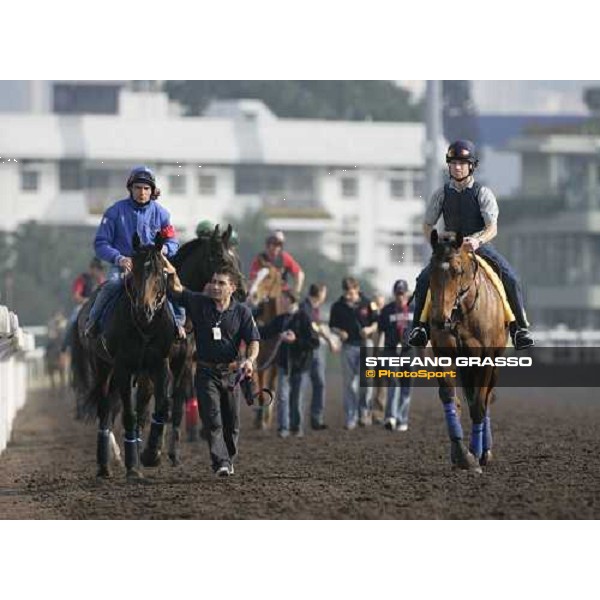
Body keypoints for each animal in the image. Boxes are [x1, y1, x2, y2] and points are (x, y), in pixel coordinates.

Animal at [428, 230, 508, 474]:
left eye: (457, 271)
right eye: (430, 271)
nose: (438, 320)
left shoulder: (486, 359)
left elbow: (479, 406)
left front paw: (476, 453)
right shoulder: (445, 354)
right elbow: (450, 398)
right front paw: (462, 455)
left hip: (495, 363)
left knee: (486, 398)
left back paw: (485, 451)